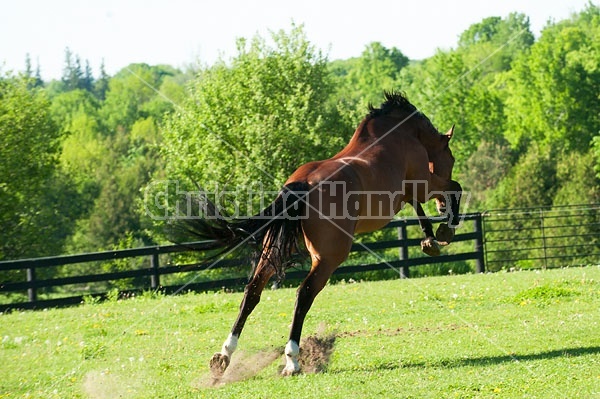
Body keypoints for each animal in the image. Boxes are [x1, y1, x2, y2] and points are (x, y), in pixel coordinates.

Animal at [171, 91, 462, 378]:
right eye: (451, 159)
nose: (441, 208)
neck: (400, 134)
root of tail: (299, 186)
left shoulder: (412, 192)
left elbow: (420, 206)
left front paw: (431, 238)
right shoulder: (423, 183)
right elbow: (452, 187)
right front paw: (445, 228)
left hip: (276, 251)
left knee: (252, 291)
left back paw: (224, 356)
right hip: (328, 258)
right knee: (304, 294)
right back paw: (292, 360)